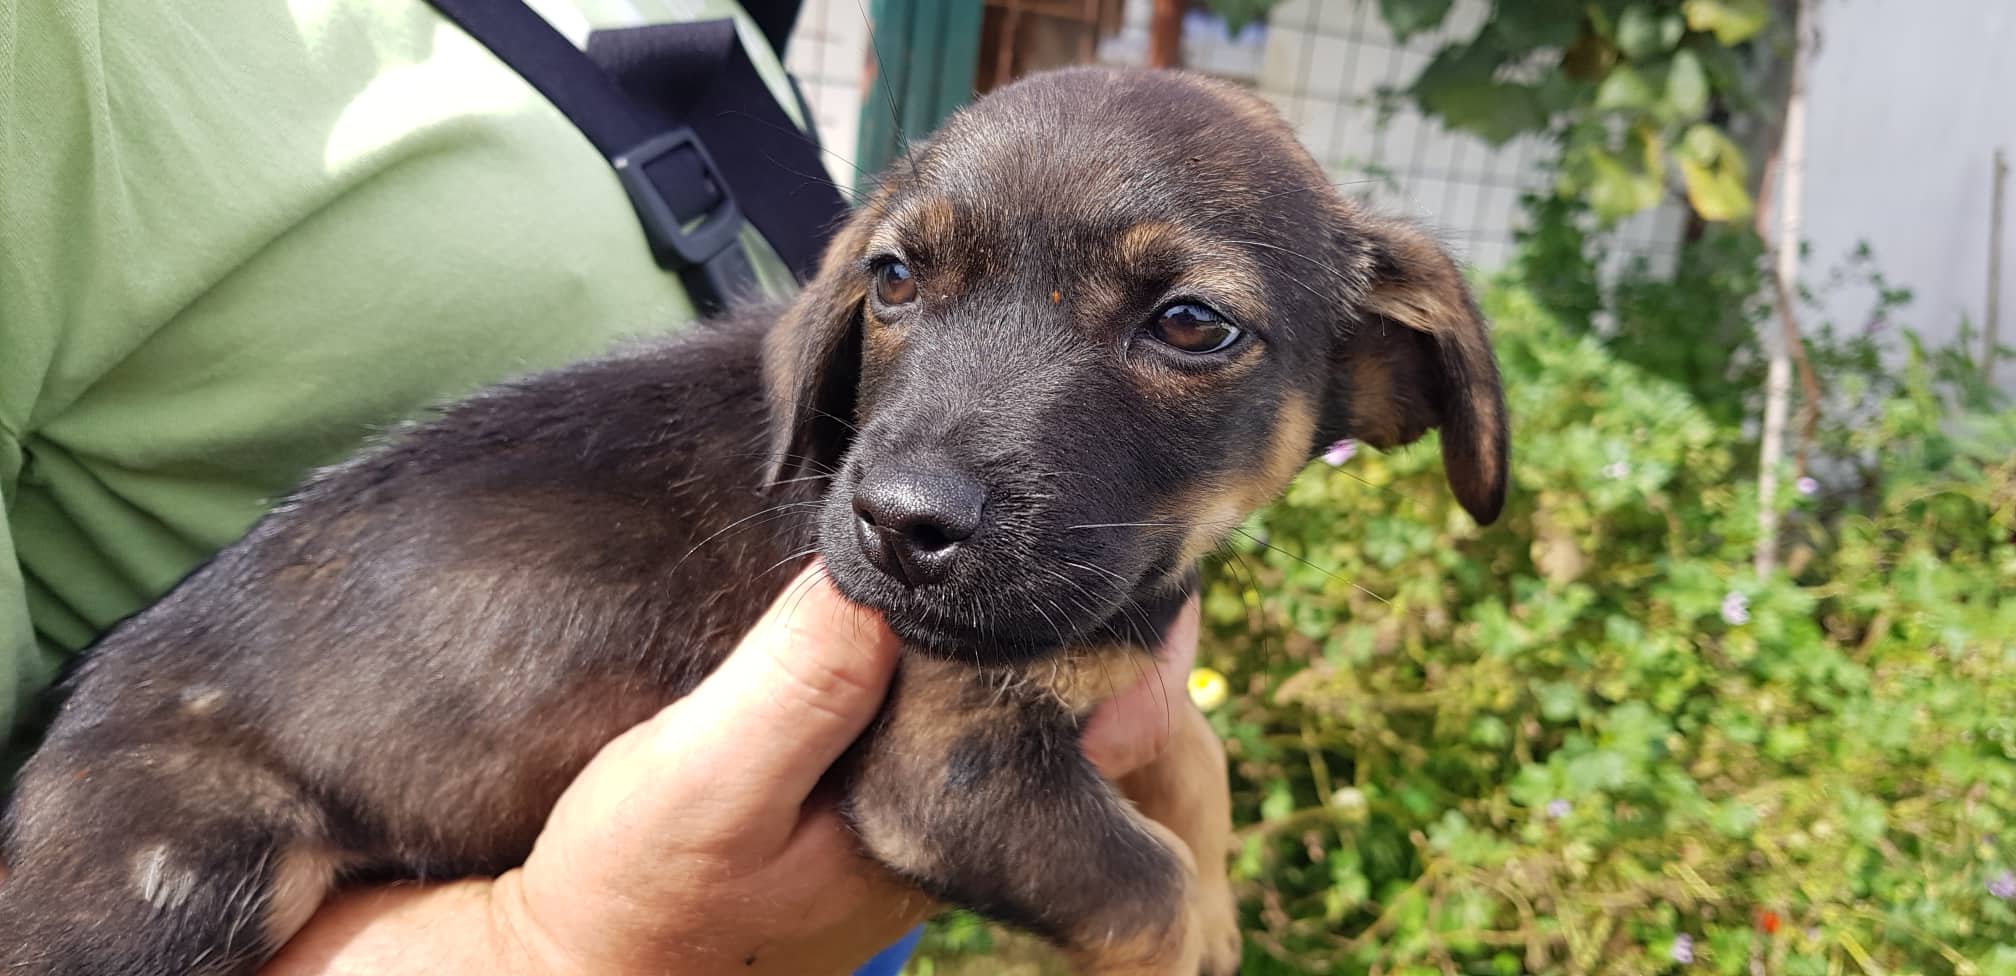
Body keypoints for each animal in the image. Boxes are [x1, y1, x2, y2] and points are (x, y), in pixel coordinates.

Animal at [0, 65, 1506, 975]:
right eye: (892, 280)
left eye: (1192, 325)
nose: (898, 526)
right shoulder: (950, 768)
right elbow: (1147, 877)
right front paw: (1200, 926)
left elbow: (1191, 776)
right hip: (182, 876)